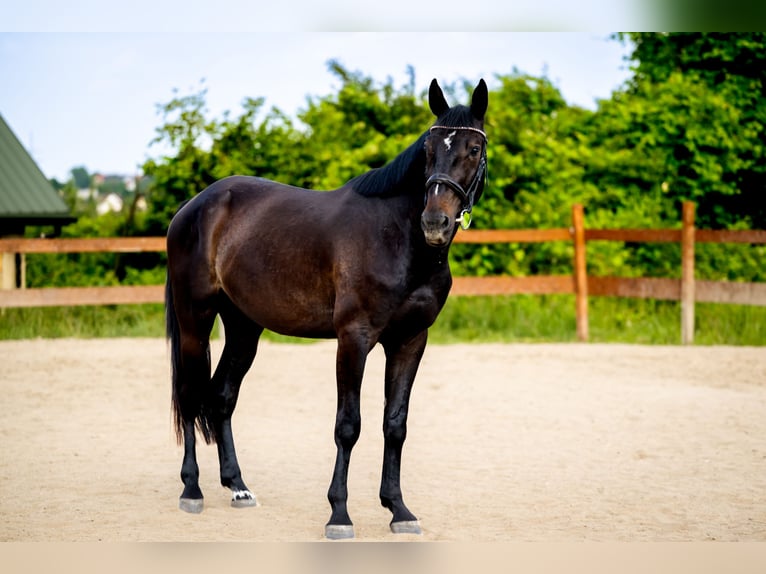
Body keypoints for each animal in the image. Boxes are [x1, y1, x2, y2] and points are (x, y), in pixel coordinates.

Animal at [164, 78, 488, 539]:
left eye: (473, 149)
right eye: (428, 149)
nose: (435, 223)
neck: (397, 238)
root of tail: (193, 208)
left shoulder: (410, 340)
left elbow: (395, 424)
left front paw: (399, 510)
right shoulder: (353, 339)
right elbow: (348, 425)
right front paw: (339, 514)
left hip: (244, 328)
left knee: (222, 396)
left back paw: (238, 487)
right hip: (195, 319)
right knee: (191, 394)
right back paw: (192, 489)